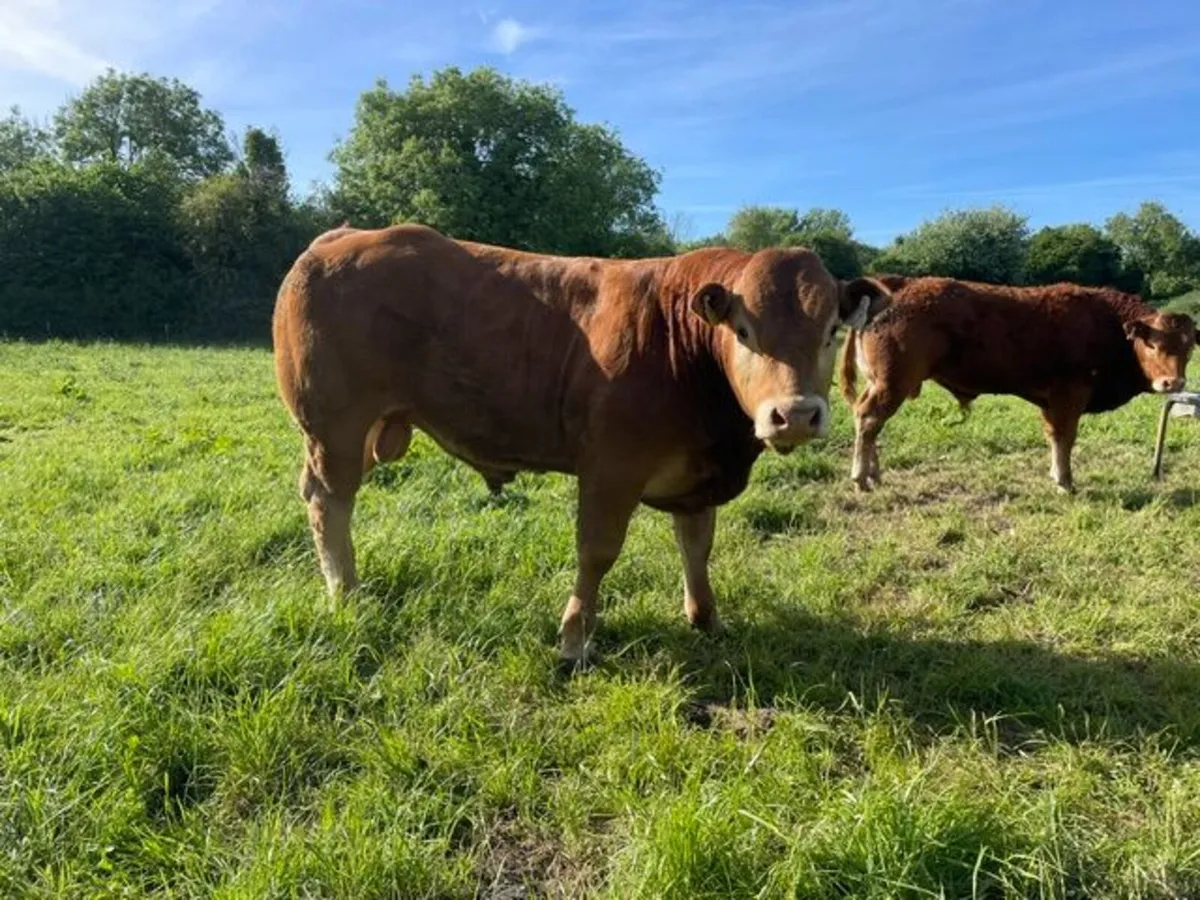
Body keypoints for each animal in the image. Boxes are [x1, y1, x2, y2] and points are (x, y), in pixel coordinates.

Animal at [272, 224, 891, 663]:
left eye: (831, 331)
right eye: (744, 331)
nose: (795, 415)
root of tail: (341, 237)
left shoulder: (696, 481)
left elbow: (697, 548)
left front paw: (706, 618)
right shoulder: (610, 470)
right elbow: (597, 553)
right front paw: (574, 638)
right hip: (334, 429)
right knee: (329, 504)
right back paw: (345, 592)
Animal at [839, 275, 1197, 493]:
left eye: (1190, 345)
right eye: (1152, 344)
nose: (1173, 382)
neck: (1107, 323)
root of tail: (897, 287)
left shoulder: (1052, 402)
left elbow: (1054, 438)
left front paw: (1056, 475)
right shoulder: (1069, 396)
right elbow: (1065, 438)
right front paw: (1065, 482)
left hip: (879, 383)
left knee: (868, 422)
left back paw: (874, 474)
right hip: (892, 385)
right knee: (869, 420)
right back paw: (861, 478)